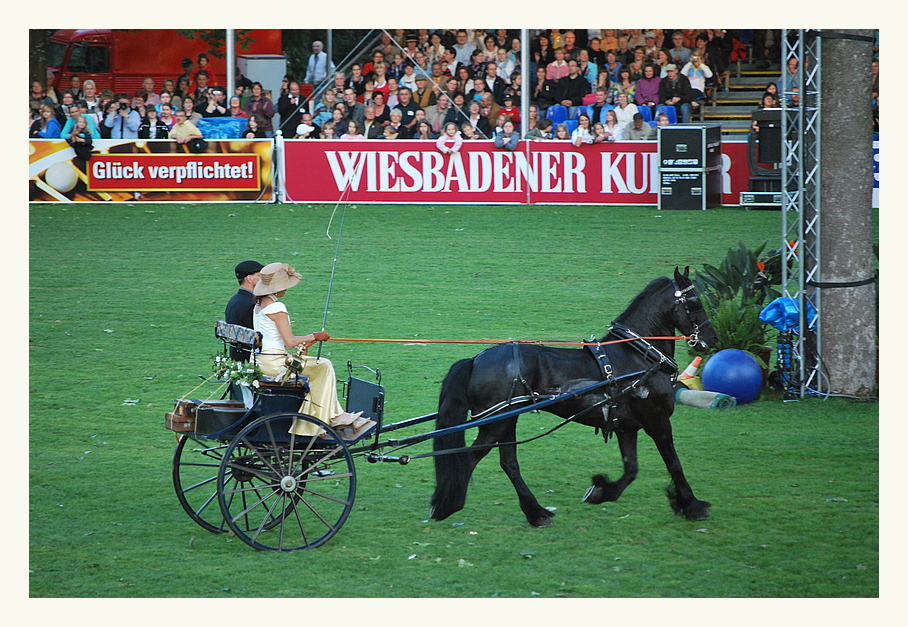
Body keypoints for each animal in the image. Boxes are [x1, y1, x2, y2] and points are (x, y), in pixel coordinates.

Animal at [430, 268, 716, 528]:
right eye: (695, 302)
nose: (711, 338)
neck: (639, 356)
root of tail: (476, 359)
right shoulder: (657, 422)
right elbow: (674, 463)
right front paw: (692, 505)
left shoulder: (627, 426)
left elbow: (631, 468)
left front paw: (601, 491)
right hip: (495, 423)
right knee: (467, 459)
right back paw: (446, 506)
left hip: (506, 421)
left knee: (508, 463)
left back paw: (536, 513)